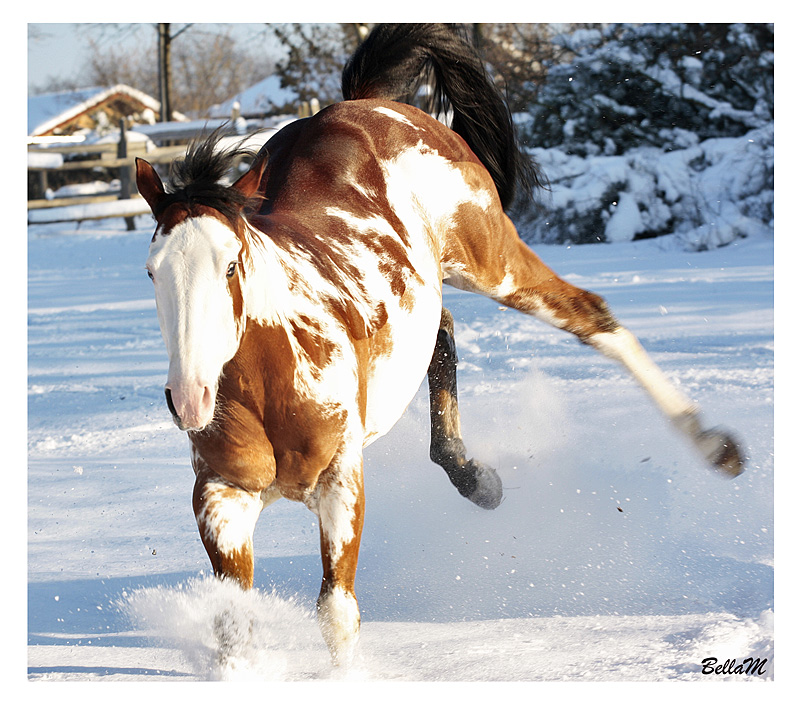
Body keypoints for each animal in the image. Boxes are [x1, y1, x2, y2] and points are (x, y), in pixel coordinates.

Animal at [133, 23, 744, 664]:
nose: (190, 398)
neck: (272, 382)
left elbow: (337, 616)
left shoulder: (340, 481)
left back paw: (717, 448)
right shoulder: (221, 497)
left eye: (230, 264)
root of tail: (369, 104)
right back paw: (476, 478)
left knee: (590, 317)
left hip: (492, 259)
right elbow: (235, 626)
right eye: (152, 271)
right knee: (444, 337)